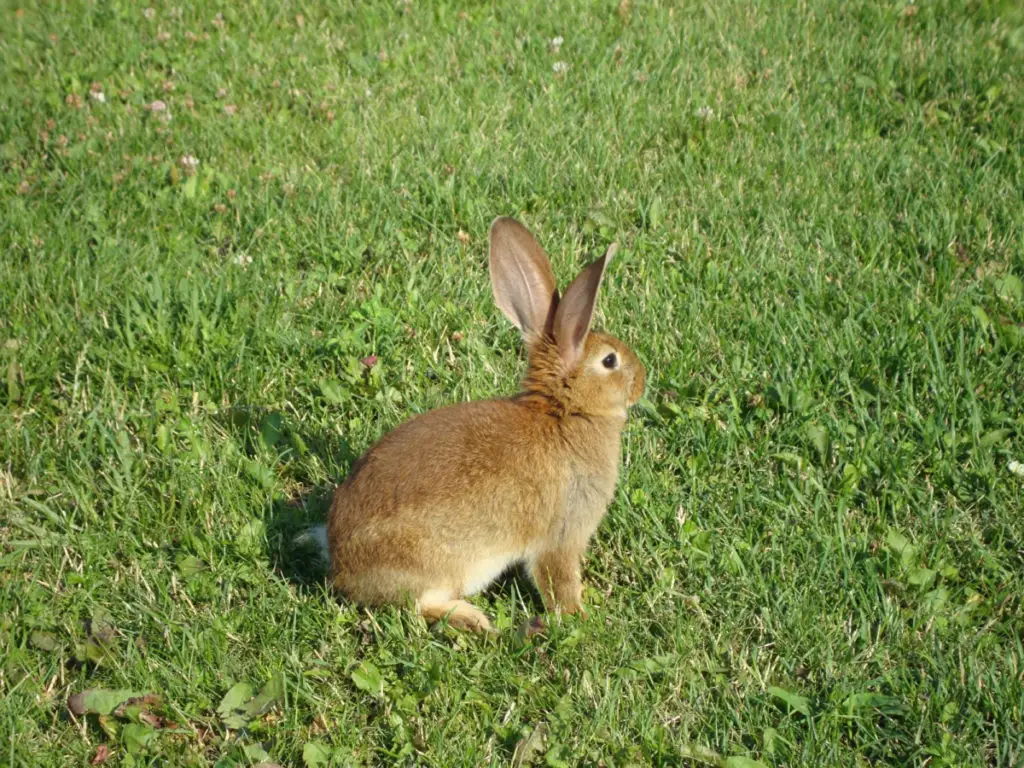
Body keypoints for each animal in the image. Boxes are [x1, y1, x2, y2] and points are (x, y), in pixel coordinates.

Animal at [323, 215, 643, 630]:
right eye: (609, 361)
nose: (642, 381)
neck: (563, 412)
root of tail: (343, 571)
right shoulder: (562, 533)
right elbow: (558, 579)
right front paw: (579, 616)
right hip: (442, 565)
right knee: (421, 605)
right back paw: (476, 620)